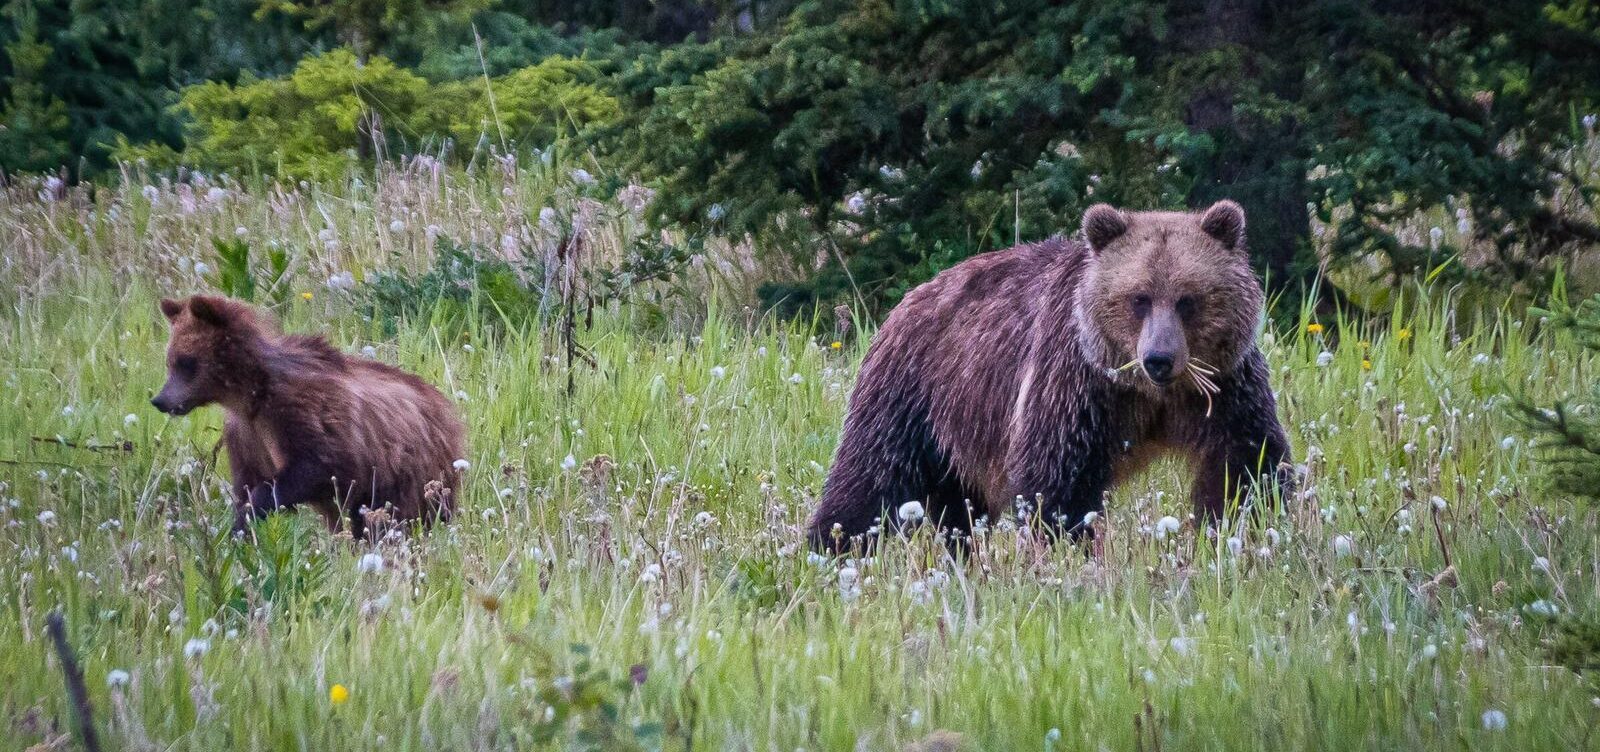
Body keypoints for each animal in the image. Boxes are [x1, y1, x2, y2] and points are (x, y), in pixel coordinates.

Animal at [150, 294, 467, 534]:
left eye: (186, 362)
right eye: (170, 361)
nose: (160, 400)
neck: (250, 395)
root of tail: (447, 409)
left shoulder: (301, 413)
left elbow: (322, 464)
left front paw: (254, 511)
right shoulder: (245, 434)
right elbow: (246, 483)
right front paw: (243, 526)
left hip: (412, 472)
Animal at [812, 202, 1286, 550]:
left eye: (1188, 299)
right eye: (1139, 298)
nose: (1159, 359)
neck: (1149, 395)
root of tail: (909, 299)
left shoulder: (1224, 387)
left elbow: (1247, 460)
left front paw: (1243, 529)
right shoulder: (1076, 384)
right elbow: (1058, 479)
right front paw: (1067, 549)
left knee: (960, 509)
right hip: (912, 395)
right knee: (869, 480)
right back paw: (828, 550)